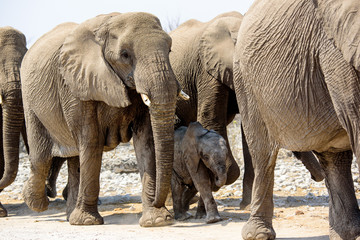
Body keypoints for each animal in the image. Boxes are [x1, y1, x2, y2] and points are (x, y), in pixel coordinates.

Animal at [20, 12, 186, 227]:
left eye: (170, 49)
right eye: (125, 54)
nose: (160, 202)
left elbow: (145, 141)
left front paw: (157, 220)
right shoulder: (75, 84)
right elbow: (90, 139)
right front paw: (87, 222)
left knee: (74, 159)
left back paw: (69, 216)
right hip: (29, 100)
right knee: (41, 157)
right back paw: (36, 202)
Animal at [235, 0, 360, 239]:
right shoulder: (337, 52)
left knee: (335, 159)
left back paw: (345, 234)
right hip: (246, 84)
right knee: (263, 156)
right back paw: (258, 234)